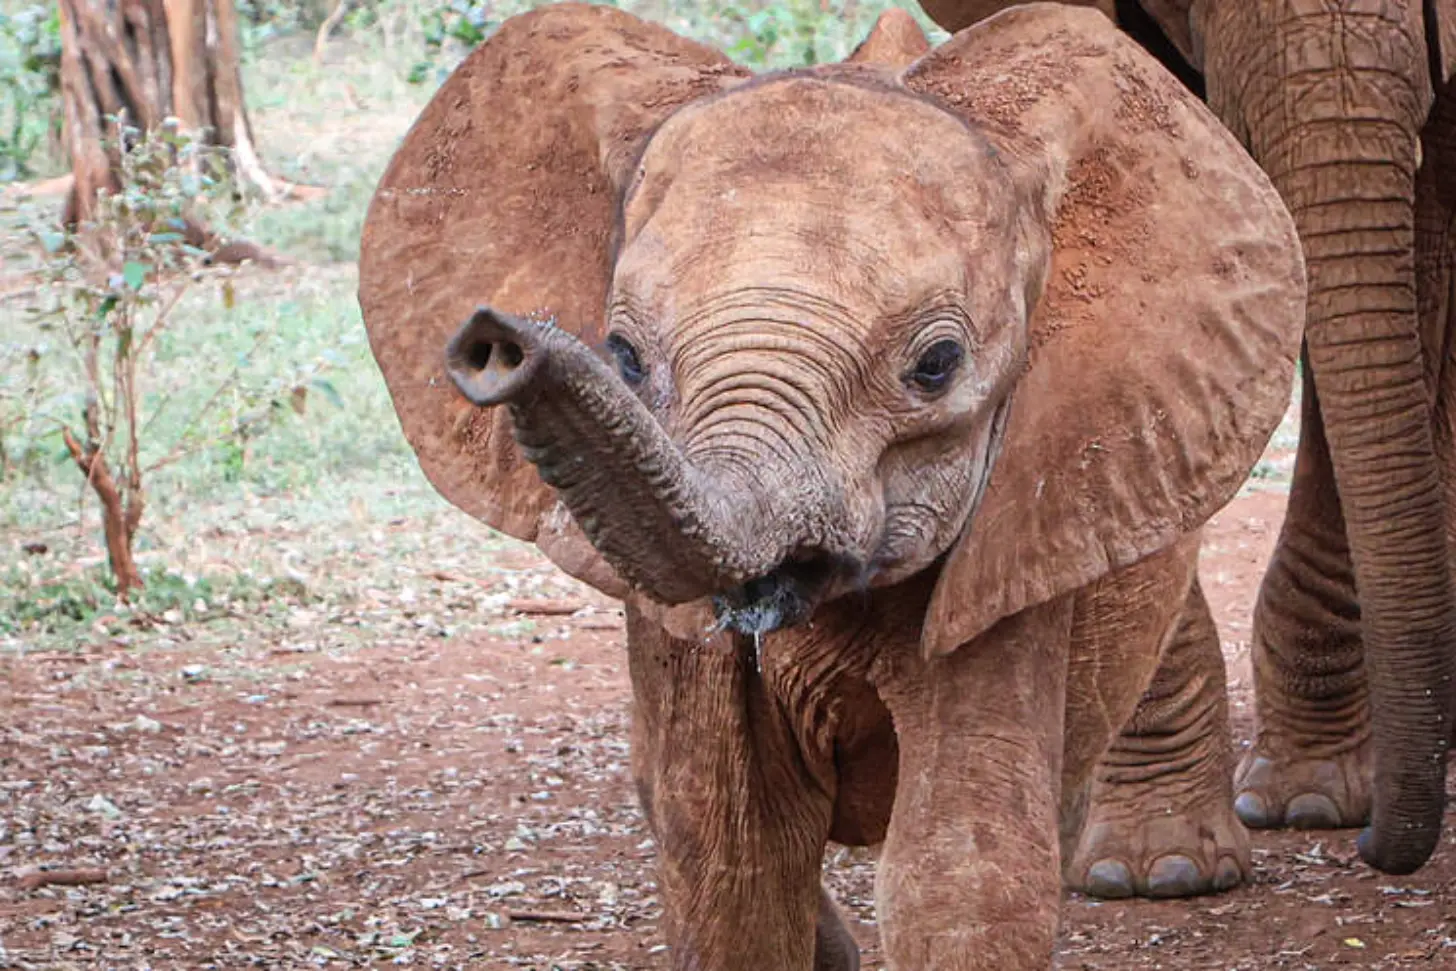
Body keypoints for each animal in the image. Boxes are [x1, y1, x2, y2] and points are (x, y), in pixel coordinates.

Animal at [357, 3, 1305, 968]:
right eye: (622, 356)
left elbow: (959, 860)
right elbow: (732, 861)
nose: (496, 343)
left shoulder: (1013, 525)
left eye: (936, 364)